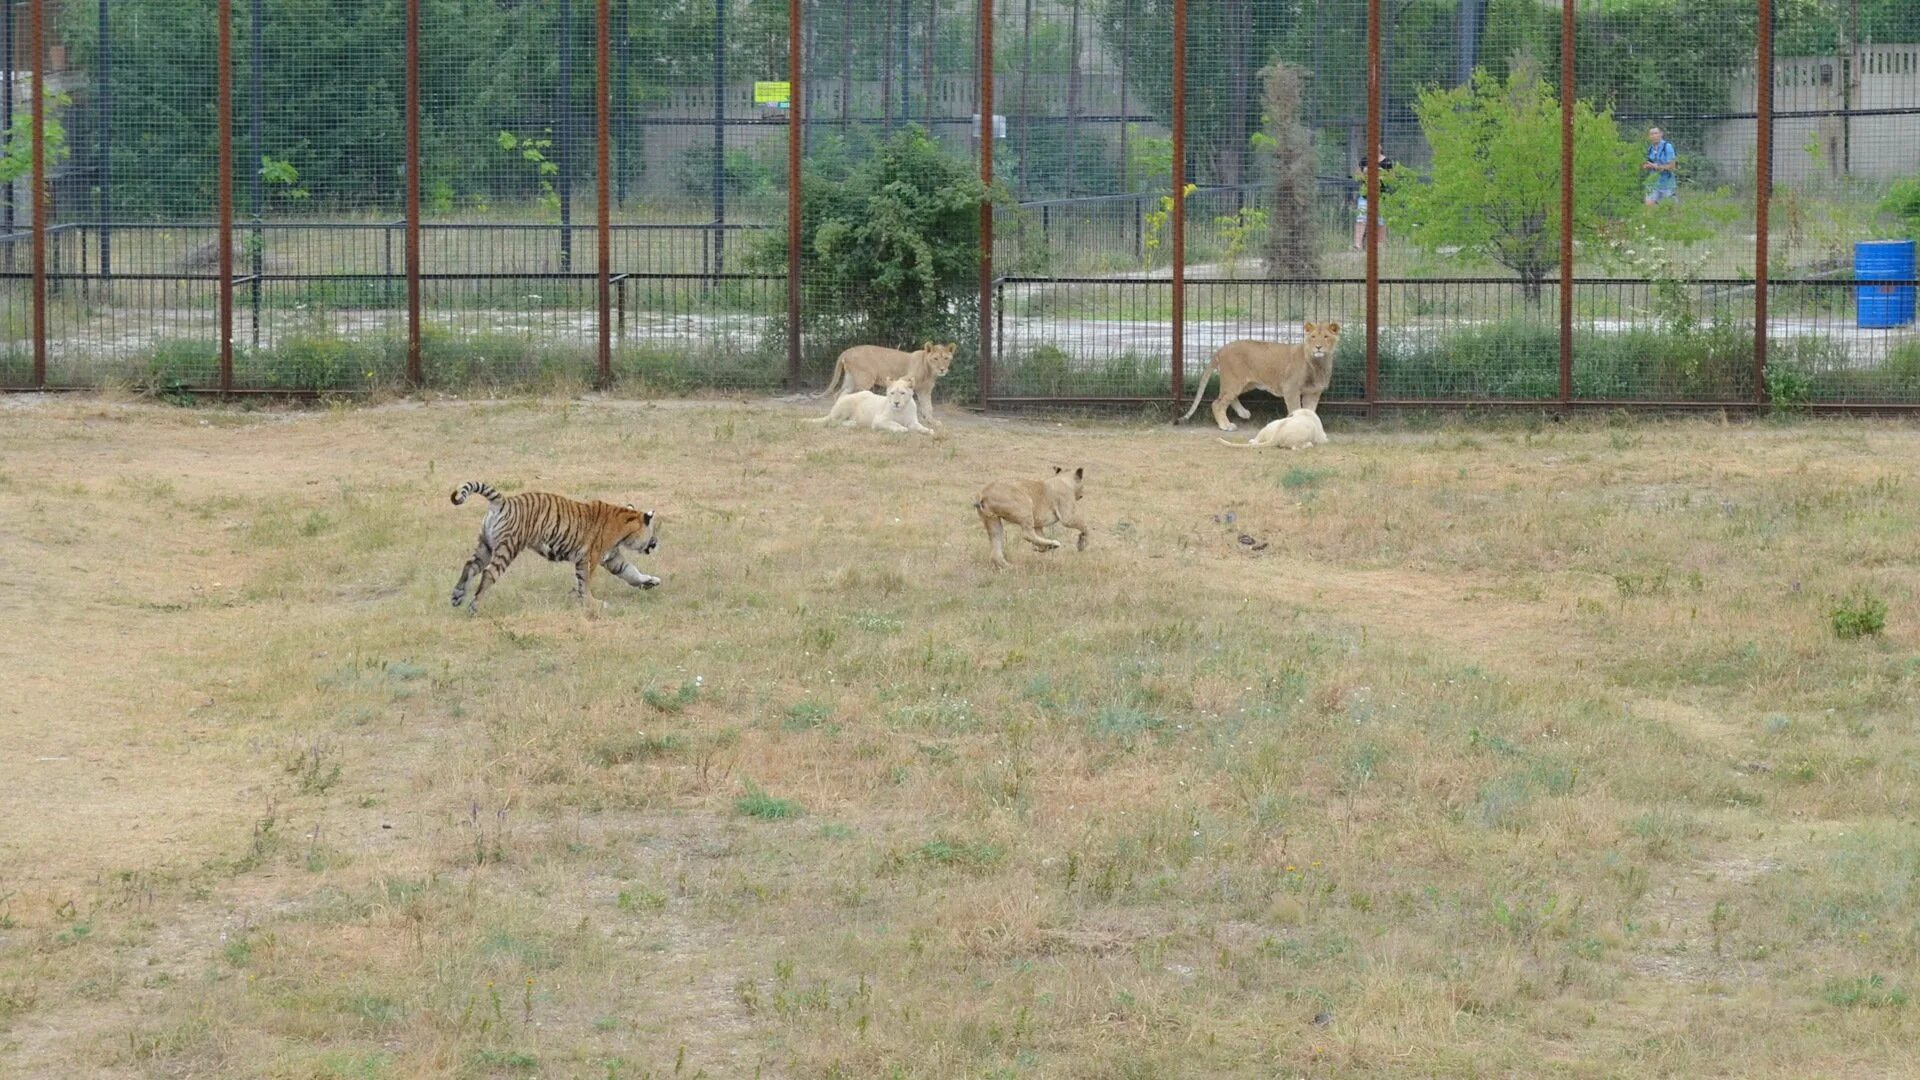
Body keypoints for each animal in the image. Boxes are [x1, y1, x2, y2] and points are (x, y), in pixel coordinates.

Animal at [447, 480, 660, 611]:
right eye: (653, 531)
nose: (656, 543)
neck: (624, 526)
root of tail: (504, 501)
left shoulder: (612, 558)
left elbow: (631, 572)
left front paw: (650, 581)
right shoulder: (589, 559)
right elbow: (585, 583)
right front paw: (593, 604)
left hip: (486, 545)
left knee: (470, 566)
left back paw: (457, 596)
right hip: (507, 547)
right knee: (488, 573)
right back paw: (474, 606)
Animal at [821, 340, 956, 424]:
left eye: (946, 358)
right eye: (935, 359)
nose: (942, 369)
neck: (929, 370)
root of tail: (847, 351)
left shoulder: (925, 391)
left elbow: (928, 406)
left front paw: (931, 421)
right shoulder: (903, 379)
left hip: (851, 380)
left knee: (839, 394)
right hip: (865, 380)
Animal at [1175, 320, 1344, 430]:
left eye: (1326, 337)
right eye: (1313, 337)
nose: (1318, 347)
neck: (1318, 364)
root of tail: (1221, 349)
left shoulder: (1313, 393)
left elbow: (1310, 411)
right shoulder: (1291, 389)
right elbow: (1296, 409)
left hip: (1244, 383)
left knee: (1229, 398)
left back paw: (1243, 413)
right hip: (1234, 381)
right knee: (1217, 403)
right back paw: (1226, 425)